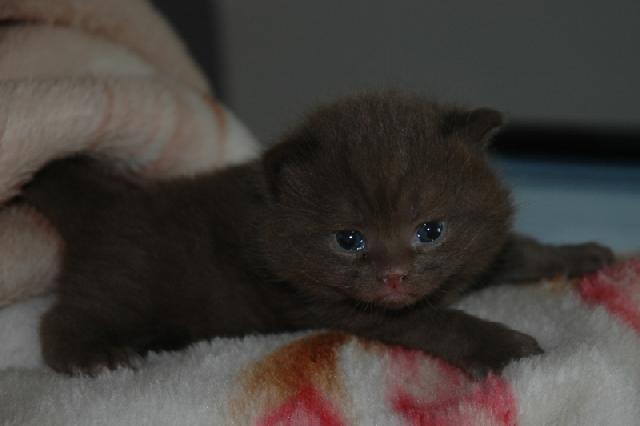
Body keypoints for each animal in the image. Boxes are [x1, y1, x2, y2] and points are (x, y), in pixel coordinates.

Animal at [22, 92, 613, 377]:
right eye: (349, 240)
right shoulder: (339, 308)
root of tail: (109, 199)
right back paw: (93, 354)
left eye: (431, 230)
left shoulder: (474, 253)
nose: (394, 277)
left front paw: (578, 254)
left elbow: (513, 251)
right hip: (128, 279)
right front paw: (502, 346)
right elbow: (439, 321)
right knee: (64, 316)